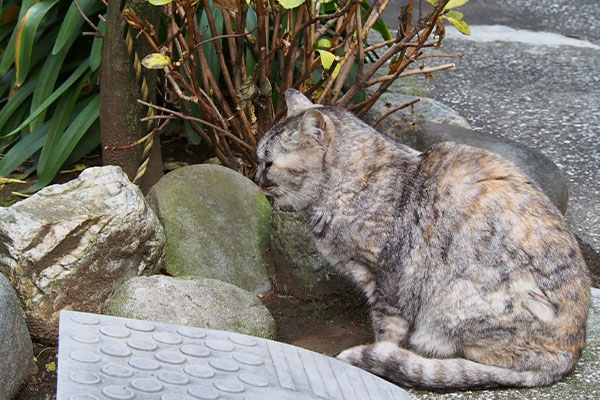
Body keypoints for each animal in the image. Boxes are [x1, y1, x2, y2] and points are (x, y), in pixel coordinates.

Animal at [254, 89, 592, 390]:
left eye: (268, 163)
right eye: (259, 159)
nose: (256, 177)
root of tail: (569, 352)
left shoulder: (389, 278)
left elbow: (387, 328)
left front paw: (381, 352)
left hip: (459, 299)